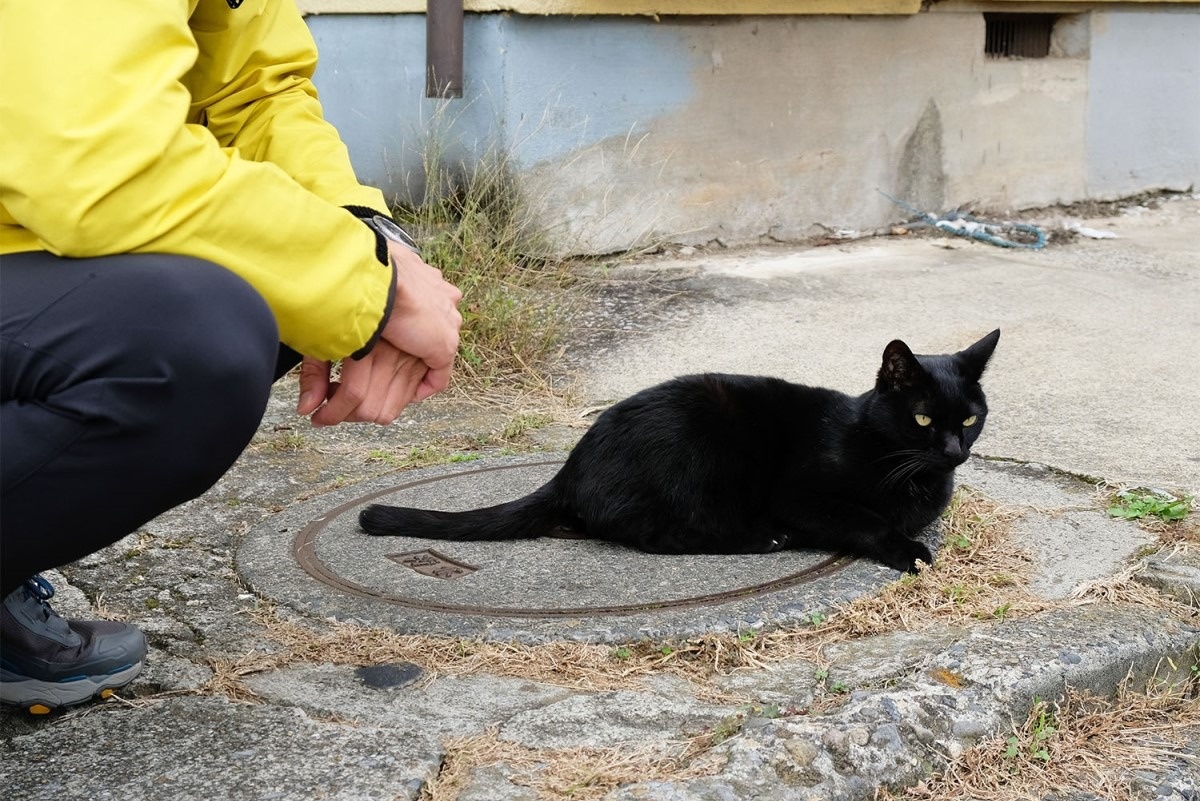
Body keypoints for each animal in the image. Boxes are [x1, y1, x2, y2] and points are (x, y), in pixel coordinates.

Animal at [360, 328, 998, 573]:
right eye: (922, 418)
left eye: (969, 419)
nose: (954, 452)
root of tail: (572, 465)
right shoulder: (801, 496)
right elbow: (867, 520)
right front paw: (909, 550)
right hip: (698, 445)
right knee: (660, 534)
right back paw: (762, 539)